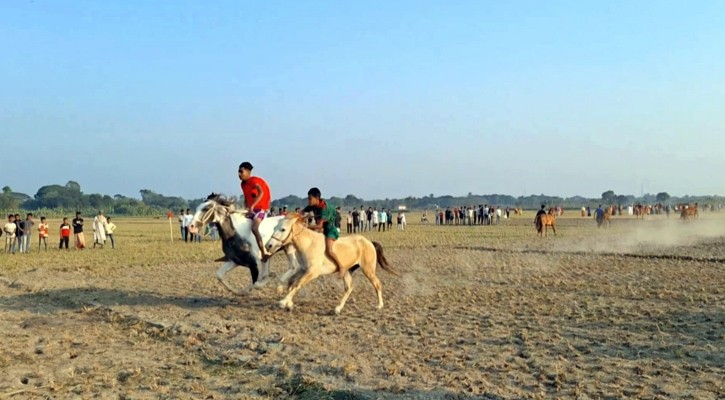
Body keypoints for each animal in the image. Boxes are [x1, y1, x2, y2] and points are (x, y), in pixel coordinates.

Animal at [264, 214, 398, 314]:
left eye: (283, 229)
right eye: (274, 228)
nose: (268, 245)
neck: (308, 244)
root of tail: (369, 242)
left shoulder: (311, 272)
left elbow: (297, 284)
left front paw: (283, 302)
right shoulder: (303, 270)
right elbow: (291, 282)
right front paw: (288, 302)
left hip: (368, 270)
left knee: (377, 284)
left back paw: (379, 306)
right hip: (347, 271)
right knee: (349, 288)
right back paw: (337, 309)